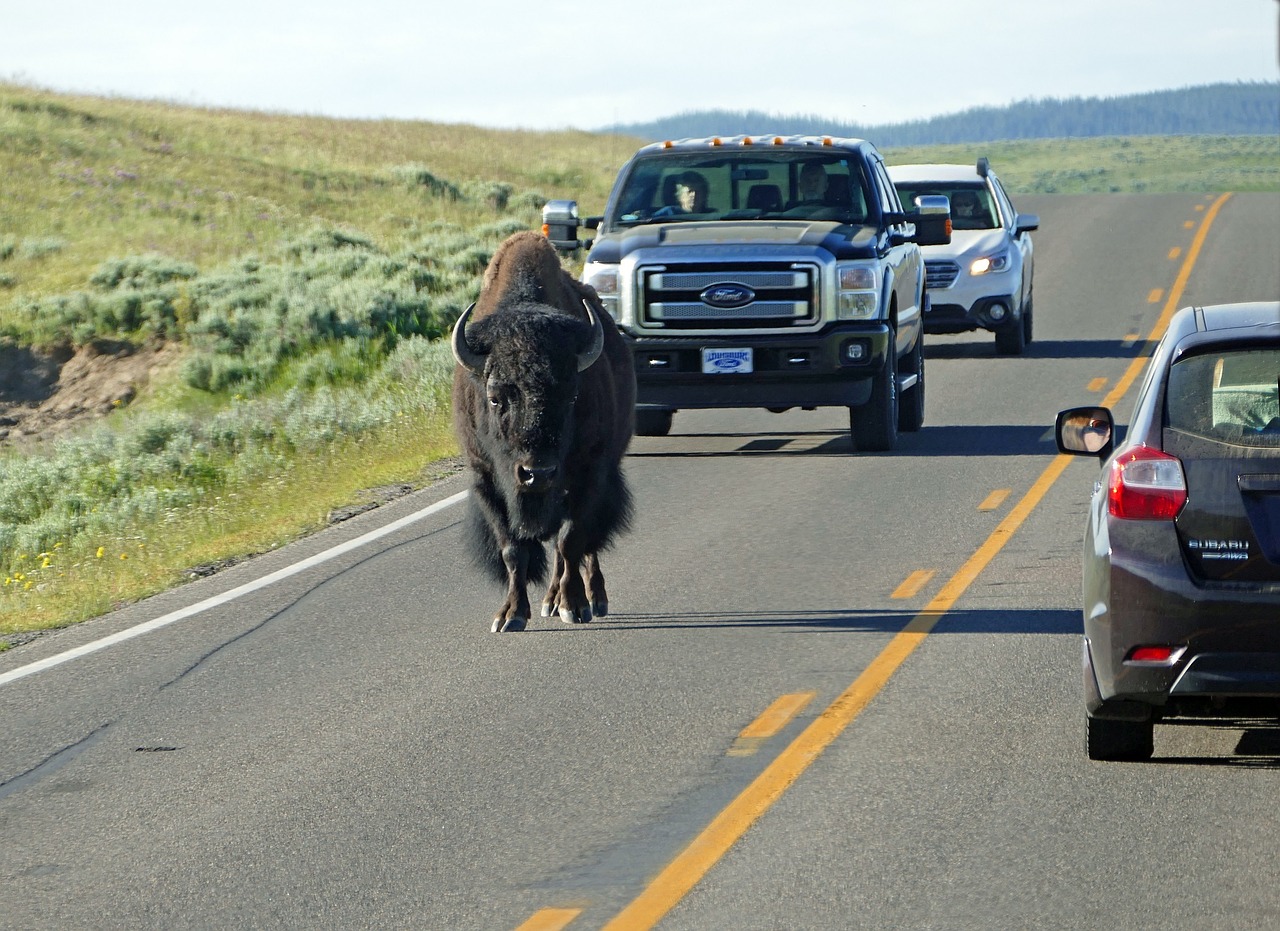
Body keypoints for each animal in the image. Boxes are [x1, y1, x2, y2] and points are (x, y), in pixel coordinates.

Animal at [450, 231, 634, 632]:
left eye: (572, 394)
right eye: (495, 397)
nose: (538, 473)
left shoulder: (589, 473)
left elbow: (571, 541)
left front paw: (575, 606)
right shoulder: (485, 478)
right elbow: (513, 549)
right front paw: (510, 615)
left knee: (585, 544)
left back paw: (591, 599)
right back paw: (550, 600)